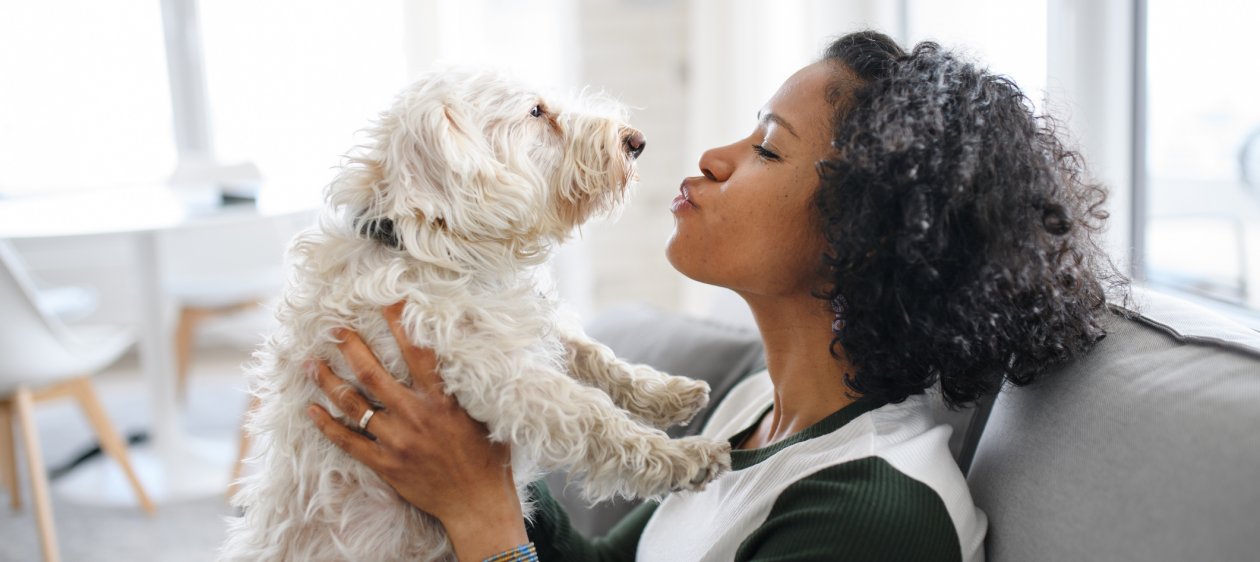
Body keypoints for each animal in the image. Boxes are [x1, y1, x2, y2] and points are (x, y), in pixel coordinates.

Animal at [216, 67, 730, 562]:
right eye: (537, 112)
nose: (635, 141)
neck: (428, 247)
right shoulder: (501, 374)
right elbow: (595, 418)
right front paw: (685, 458)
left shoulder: (525, 324)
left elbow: (595, 354)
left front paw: (669, 393)